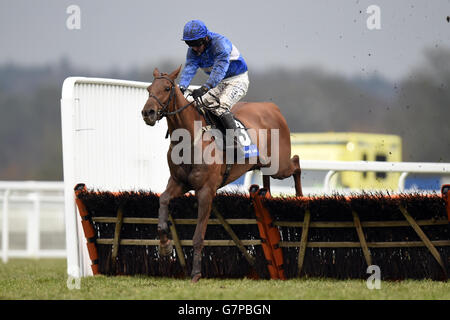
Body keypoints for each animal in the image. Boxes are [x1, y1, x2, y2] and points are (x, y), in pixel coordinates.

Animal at [142, 65, 302, 282]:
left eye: (167, 88)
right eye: (149, 89)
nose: (147, 112)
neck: (190, 139)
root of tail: (272, 108)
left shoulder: (205, 191)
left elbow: (198, 236)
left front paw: (196, 274)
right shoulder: (178, 182)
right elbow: (163, 200)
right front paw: (165, 246)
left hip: (279, 165)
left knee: (296, 163)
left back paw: (300, 197)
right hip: (267, 164)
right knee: (270, 175)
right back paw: (265, 194)